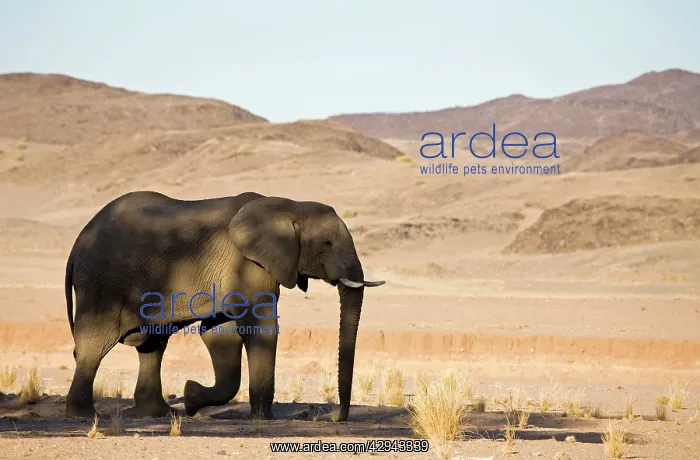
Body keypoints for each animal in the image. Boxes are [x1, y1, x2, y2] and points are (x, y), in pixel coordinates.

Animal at [64, 190, 384, 421]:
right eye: (327, 244)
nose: (335, 417)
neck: (289, 206)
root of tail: (77, 242)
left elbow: (219, 333)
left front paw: (191, 397)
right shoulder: (249, 265)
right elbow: (262, 327)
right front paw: (262, 418)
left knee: (153, 345)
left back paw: (161, 414)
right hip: (102, 283)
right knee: (95, 343)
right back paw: (84, 415)